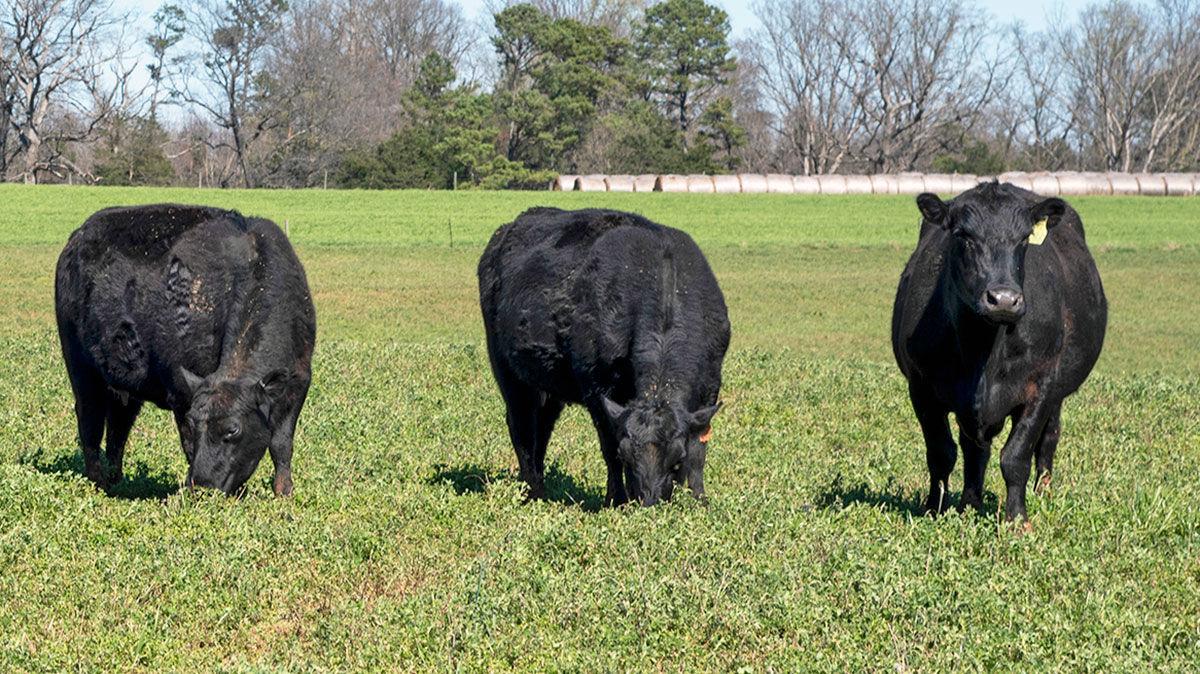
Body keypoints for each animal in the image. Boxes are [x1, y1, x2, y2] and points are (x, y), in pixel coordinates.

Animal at [55, 204, 316, 496]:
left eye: (232, 430)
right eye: (194, 424)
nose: (203, 484)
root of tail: (79, 236)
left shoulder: (298, 384)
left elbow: (281, 444)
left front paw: (283, 492)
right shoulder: (181, 394)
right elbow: (190, 446)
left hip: (125, 387)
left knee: (118, 427)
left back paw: (115, 479)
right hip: (81, 369)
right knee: (90, 421)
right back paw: (97, 482)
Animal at [478, 207, 730, 507]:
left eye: (676, 459)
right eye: (626, 455)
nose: (649, 501)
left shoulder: (710, 385)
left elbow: (699, 450)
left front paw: (699, 499)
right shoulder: (596, 387)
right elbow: (608, 444)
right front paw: (617, 499)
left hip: (548, 386)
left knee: (542, 428)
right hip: (508, 374)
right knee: (522, 428)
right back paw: (533, 492)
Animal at [891, 182, 1106, 525]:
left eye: (1024, 239)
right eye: (963, 235)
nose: (1004, 299)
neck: (983, 350)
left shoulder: (1041, 385)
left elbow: (1016, 456)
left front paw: (1017, 519)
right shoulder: (921, 386)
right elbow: (941, 453)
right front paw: (934, 509)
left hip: (1058, 393)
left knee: (1049, 439)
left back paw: (1043, 493)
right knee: (974, 449)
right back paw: (970, 503)